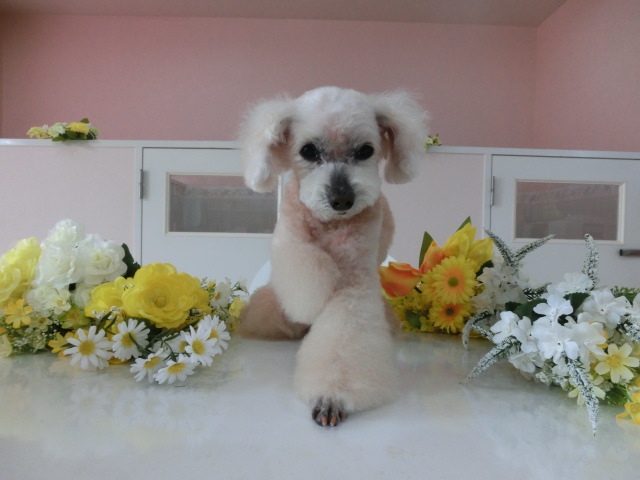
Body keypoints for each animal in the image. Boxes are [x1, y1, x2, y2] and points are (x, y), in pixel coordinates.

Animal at [237, 86, 428, 426]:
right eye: (309, 151)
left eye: (365, 151)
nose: (342, 199)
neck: (329, 224)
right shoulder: (290, 237)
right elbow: (304, 267)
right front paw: (312, 298)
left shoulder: (355, 282)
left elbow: (344, 332)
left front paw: (332, 398)